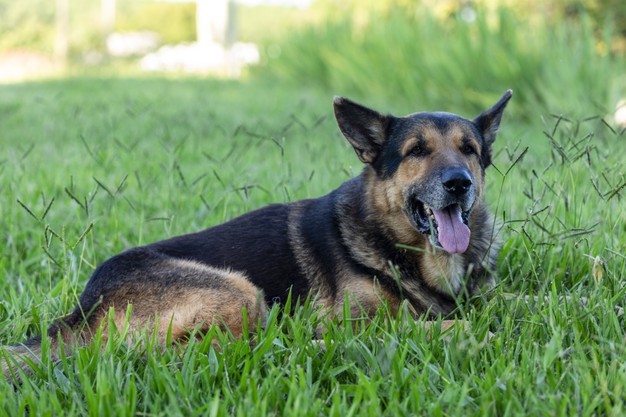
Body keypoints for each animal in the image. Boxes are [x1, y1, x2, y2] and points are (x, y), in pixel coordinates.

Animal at [2, 89, 510, 376]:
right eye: (416, 151)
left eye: (469, 150)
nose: (458, 184)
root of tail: (84, 308)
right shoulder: (350, 320)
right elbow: (424, 325)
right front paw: (471, 334)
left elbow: (511, 299)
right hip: (239, 291)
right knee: (227, 353)